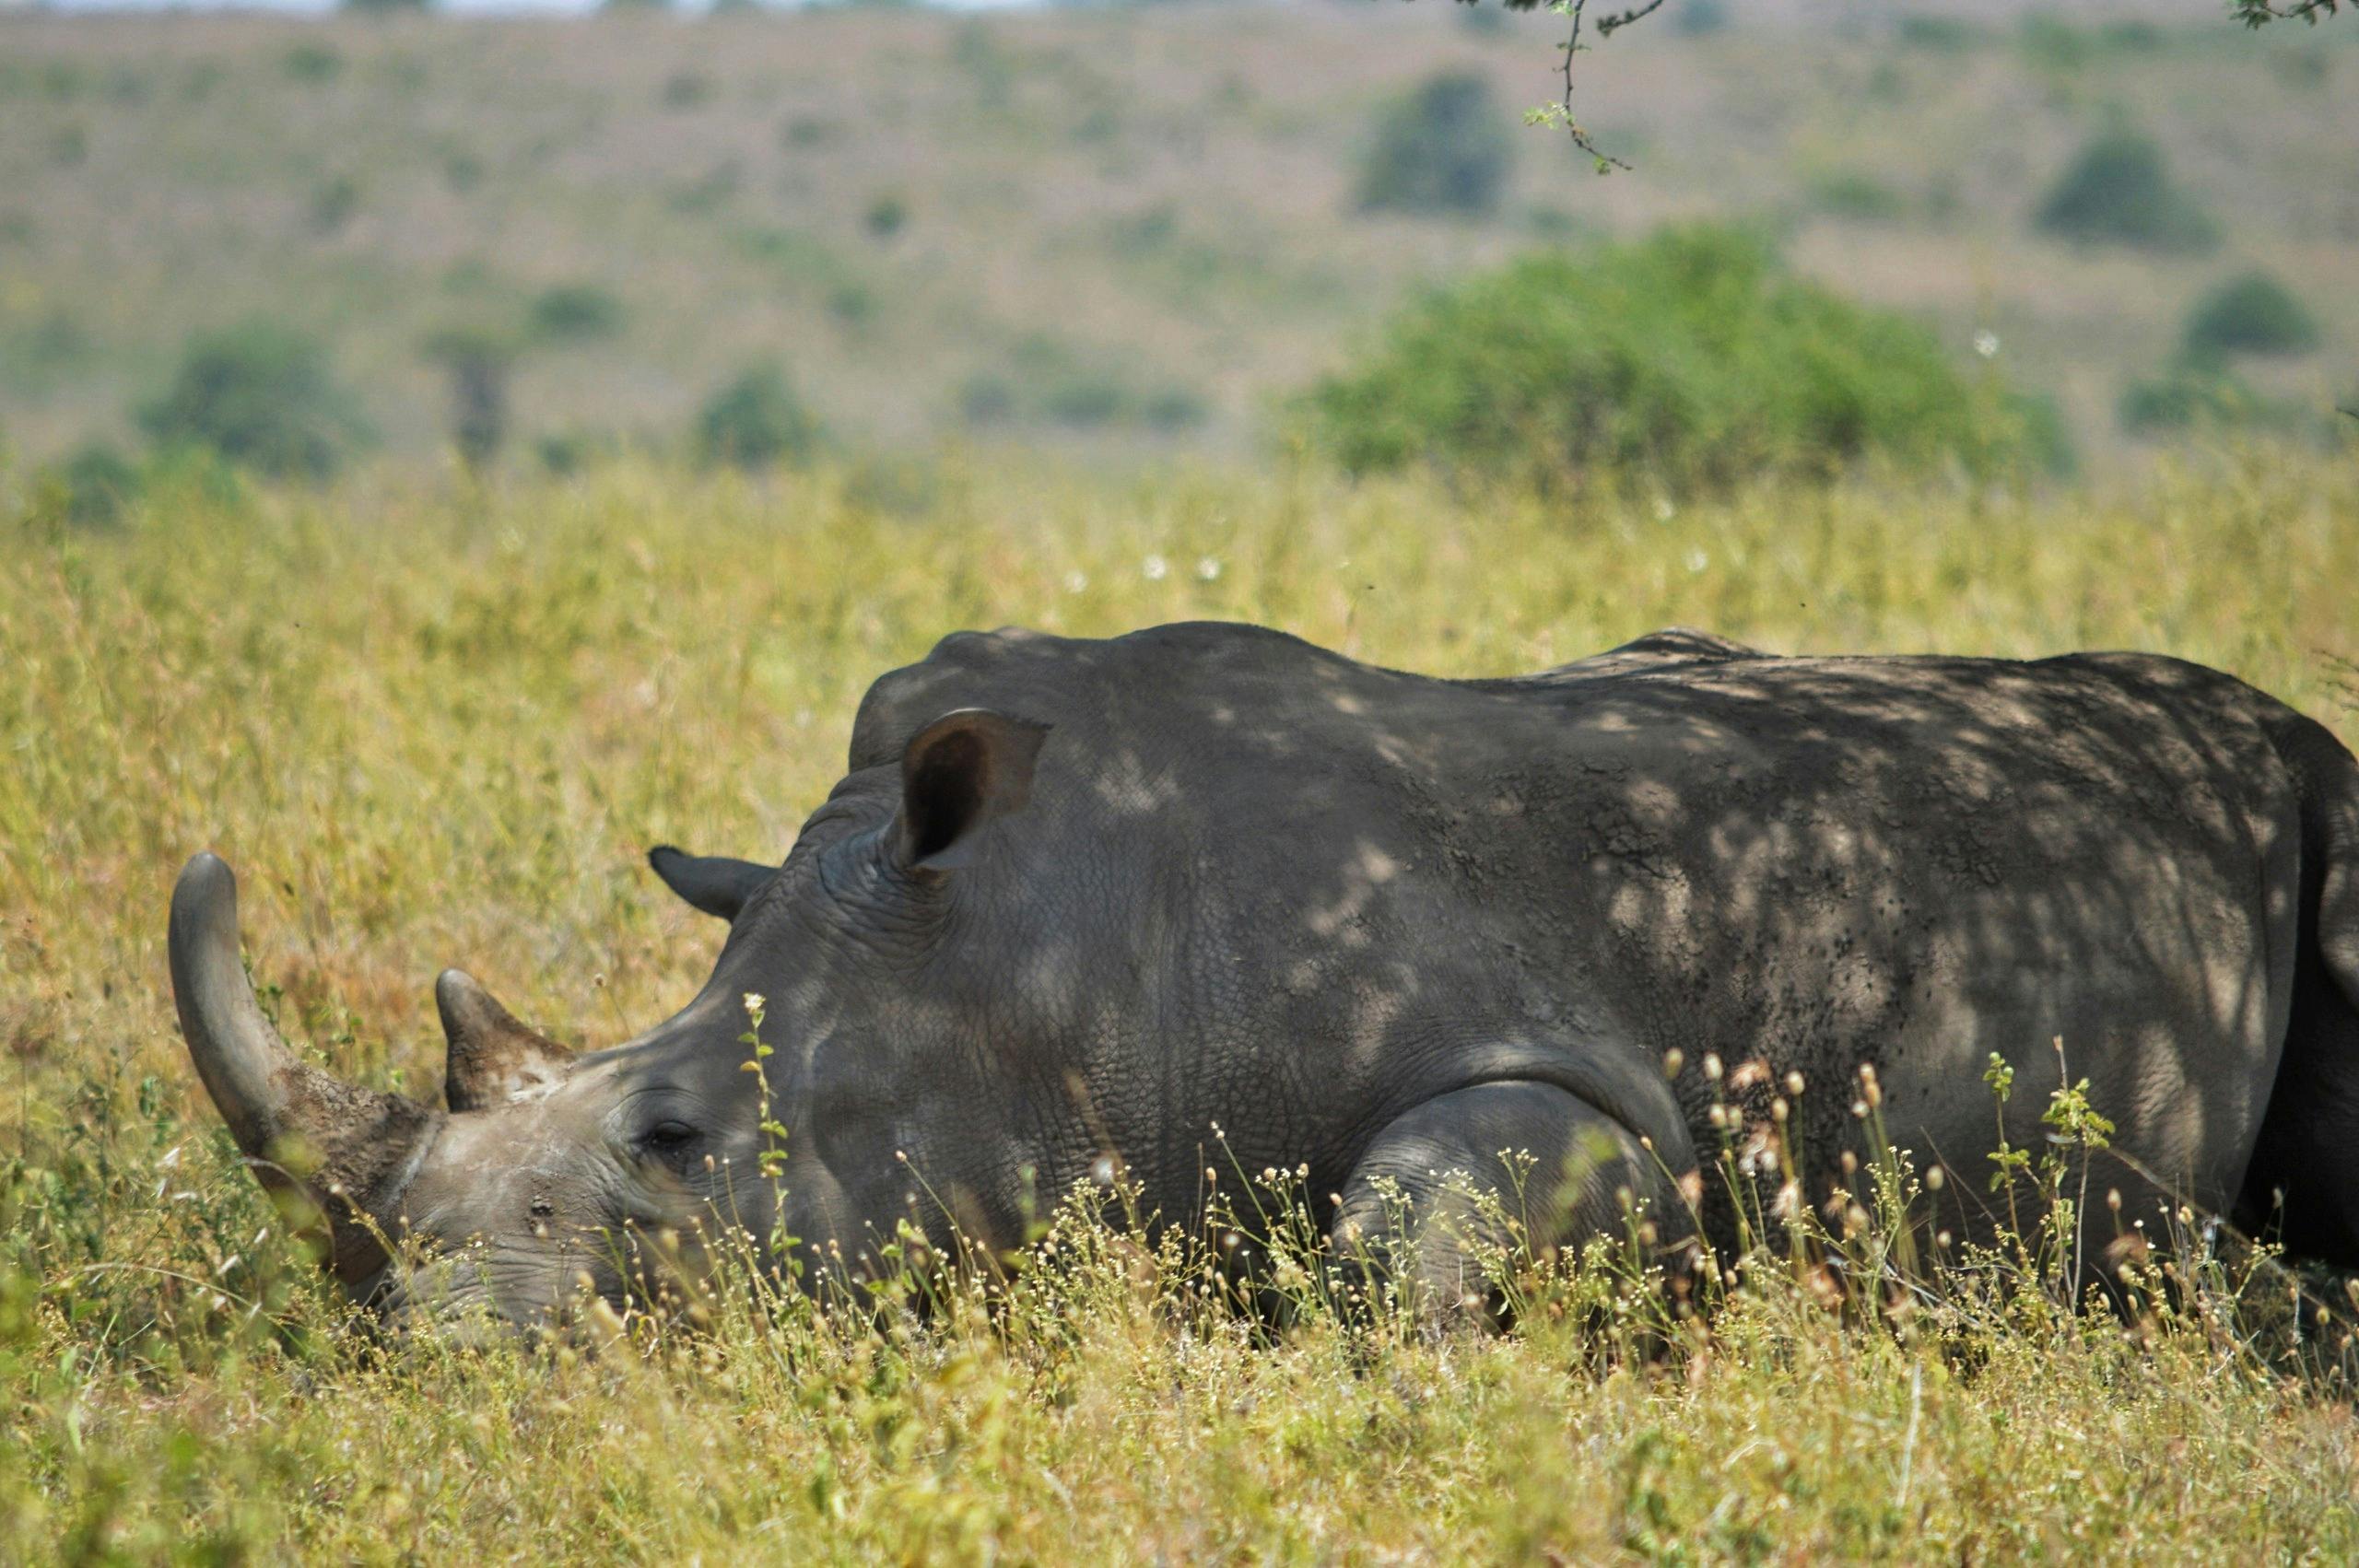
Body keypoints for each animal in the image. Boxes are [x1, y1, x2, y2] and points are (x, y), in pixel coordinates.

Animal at [168, 622, 2359, 1329]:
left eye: (679, 1139)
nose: (429, 1342)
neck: (1040, 953)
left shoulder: (1590, 1085)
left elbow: (1405, 1232)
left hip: (2308, 793)